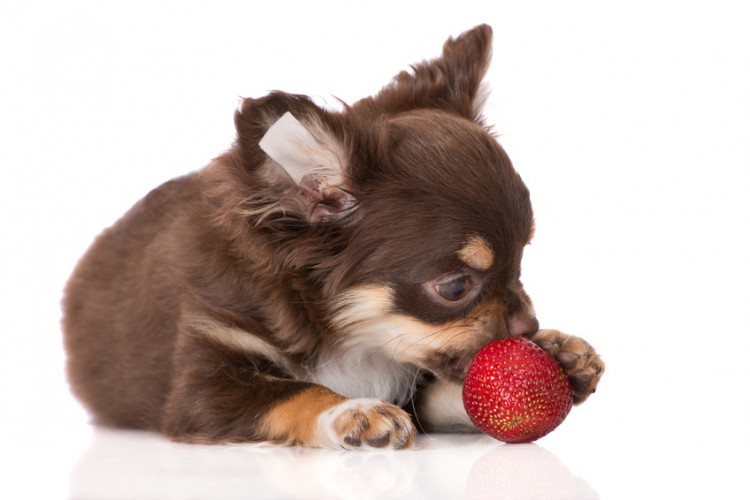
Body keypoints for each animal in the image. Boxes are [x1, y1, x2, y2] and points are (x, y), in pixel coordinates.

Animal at [64, 24, 604, 450]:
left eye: (522, 260)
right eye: (454, 288)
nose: (529, 326)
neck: (355, 340)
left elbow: (455, 395)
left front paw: (563, 355)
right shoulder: (202, 387)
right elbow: (294, 391)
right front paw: (353, 411)